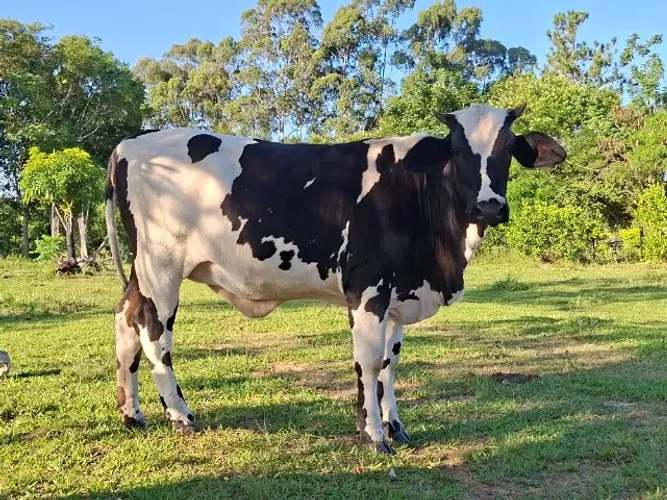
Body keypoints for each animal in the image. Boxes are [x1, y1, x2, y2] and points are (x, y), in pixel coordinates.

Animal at [105, 103, 566, 454]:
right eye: (456, 148)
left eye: (508, 148)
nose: (488, 206)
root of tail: (130, 143)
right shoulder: (367, 287)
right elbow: (368, 361)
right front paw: (374, 437)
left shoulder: (398, 294)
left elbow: (390, 363)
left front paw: (396, 426)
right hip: (161, 266)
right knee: (154, 333)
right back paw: (180, 415)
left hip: (141, 271)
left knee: (125, 319)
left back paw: (132, 414)